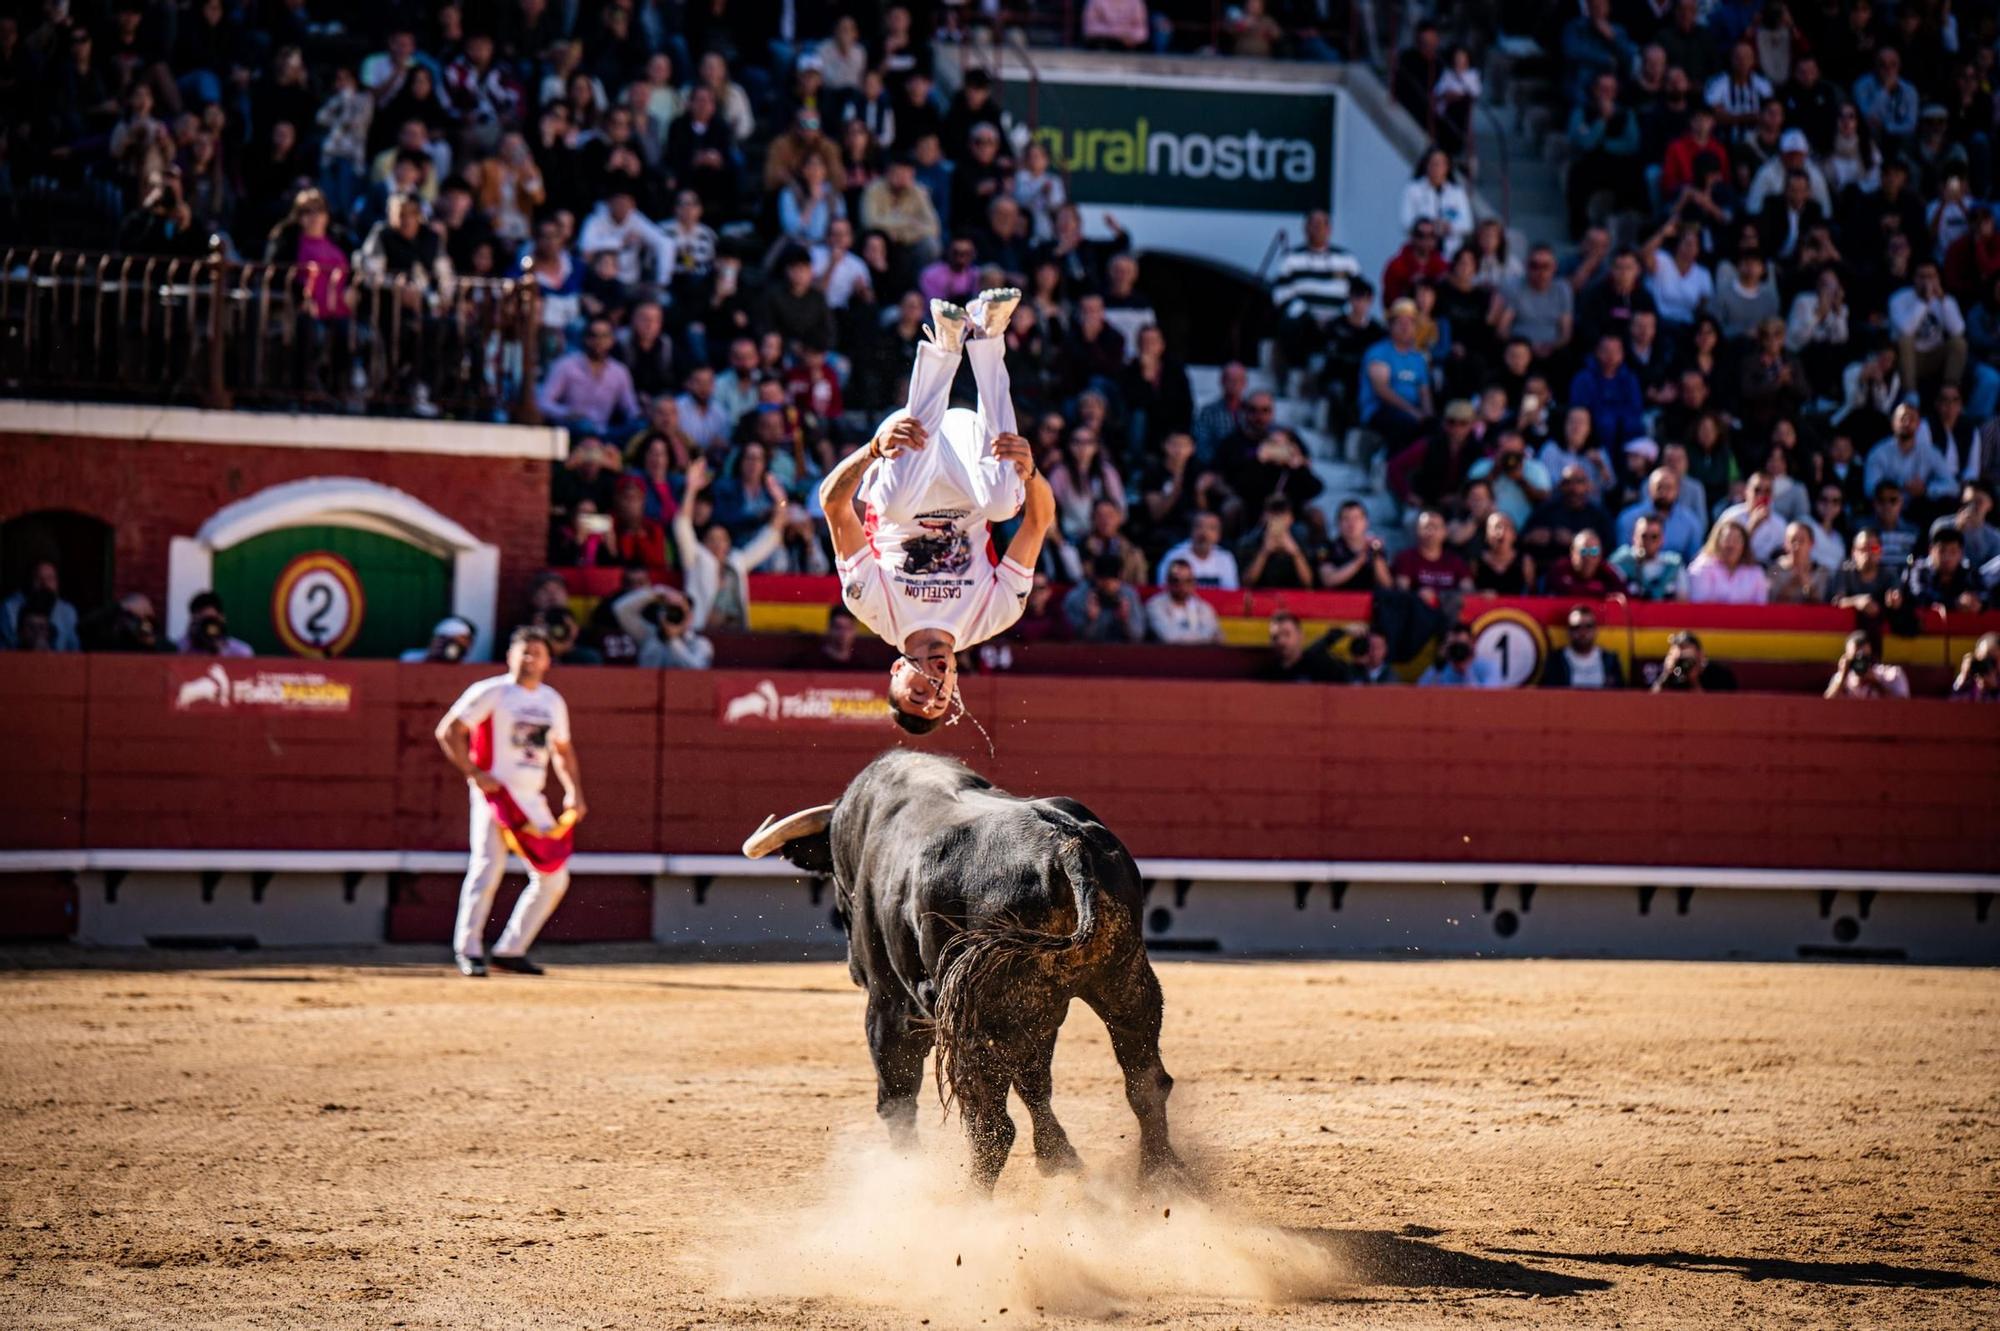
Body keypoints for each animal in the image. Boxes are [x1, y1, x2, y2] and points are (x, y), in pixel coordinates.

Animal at [752, 751, 1184, 1183]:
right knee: (1145, 1082)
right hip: (1122, 981)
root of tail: (1065, 848)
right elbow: (1034, 1083)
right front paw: (1058, 1159)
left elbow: (896, 1091)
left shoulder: (889, 1001)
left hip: (981, 1014)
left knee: (991, 1124)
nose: (853, 965)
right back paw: (1160, 1175)